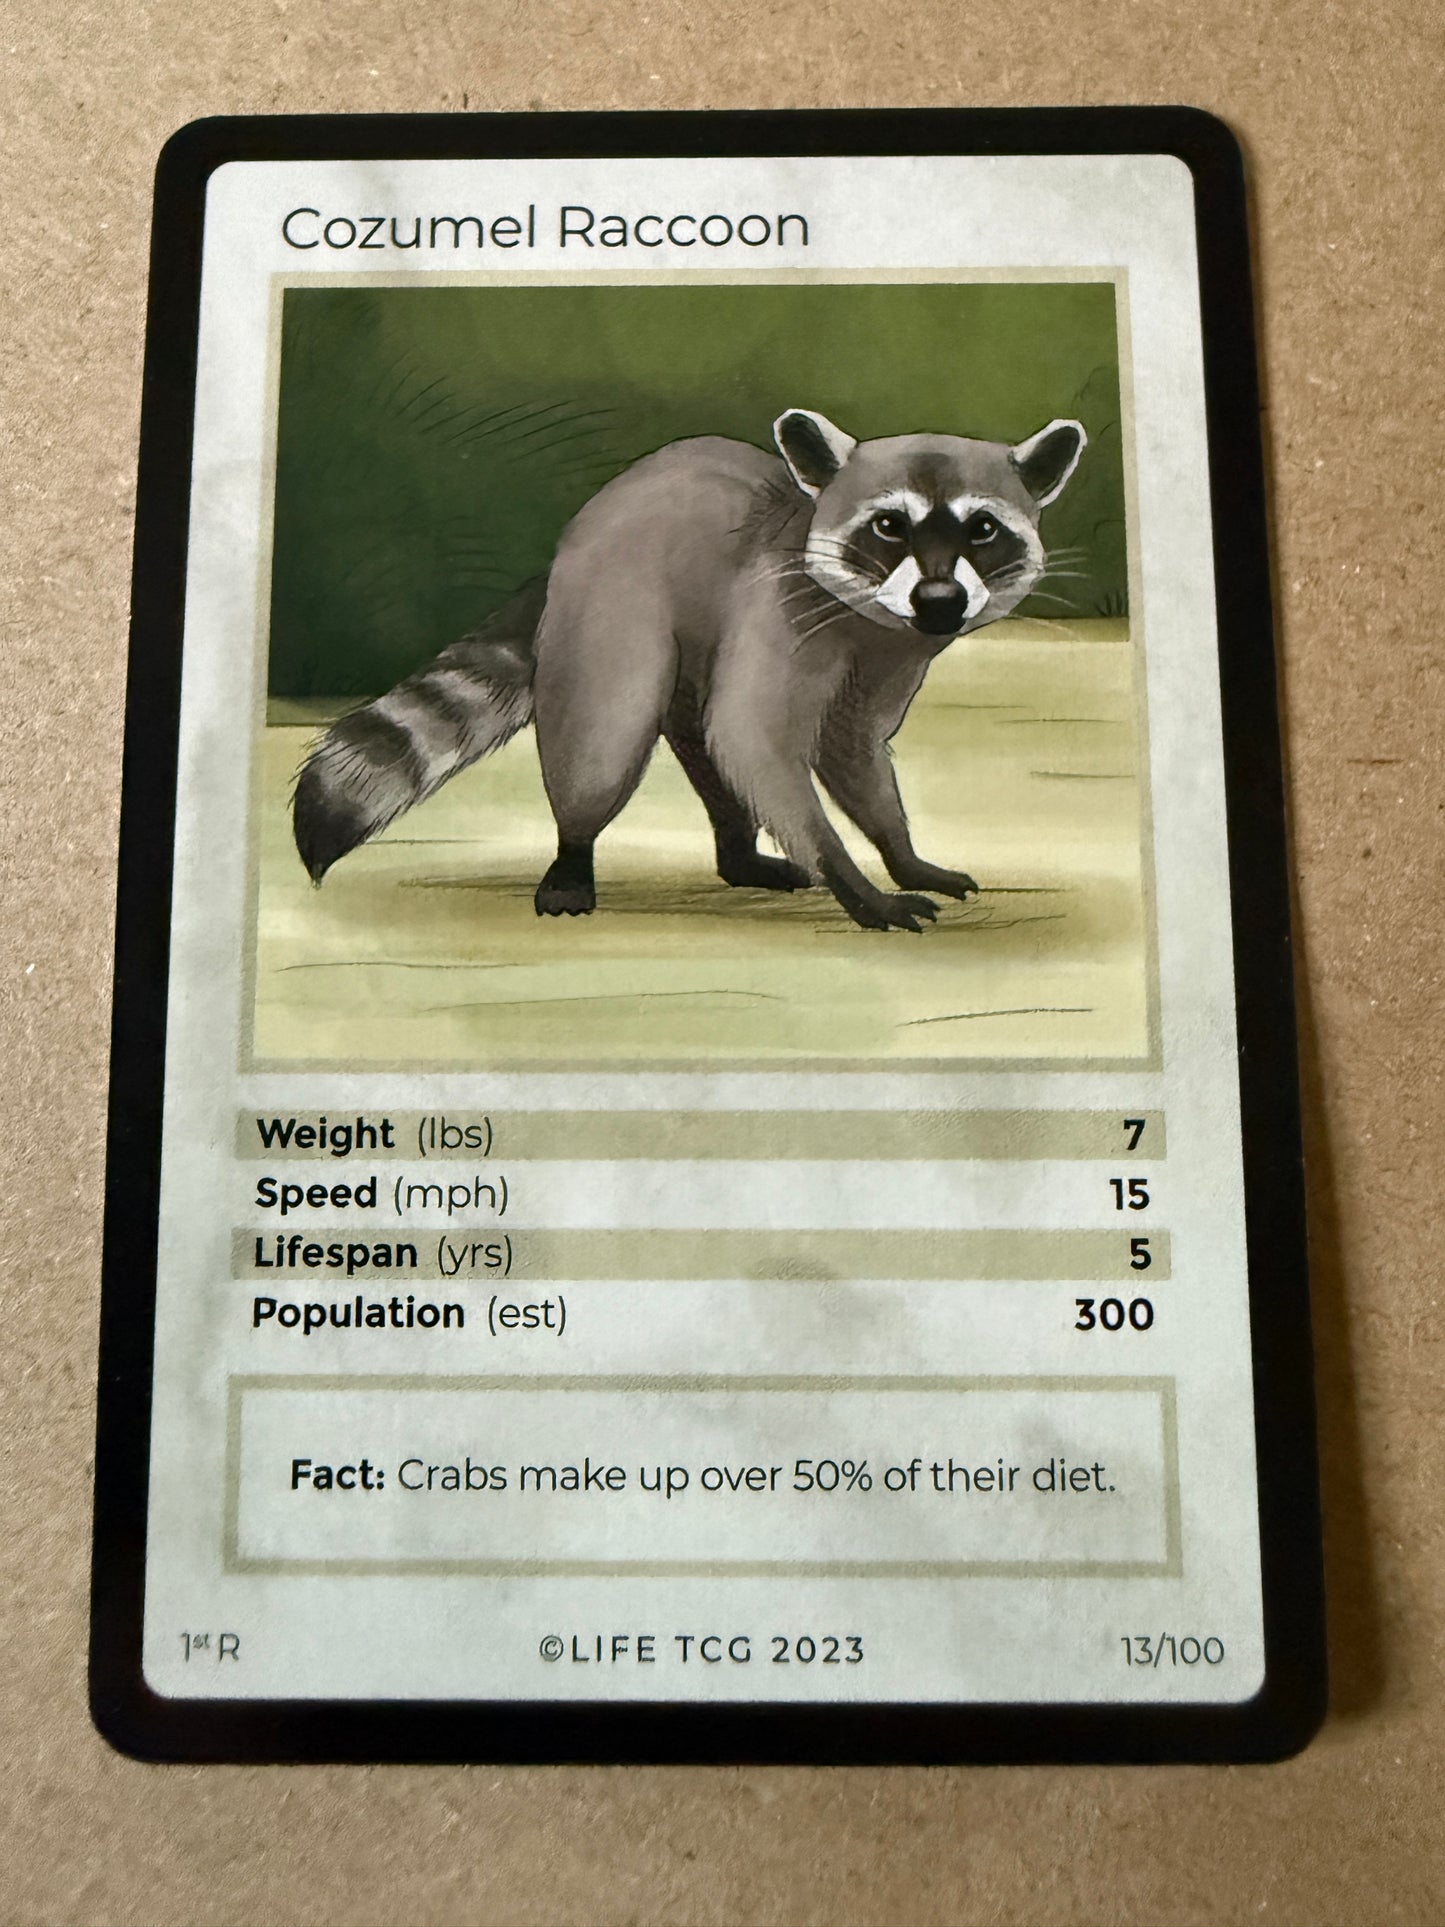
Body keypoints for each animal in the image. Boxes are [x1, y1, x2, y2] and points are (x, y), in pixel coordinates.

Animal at [292, 409, 1085, 931]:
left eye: (982, 529)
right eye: (890, 526)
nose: (940, 600)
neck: (873, 622)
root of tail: (576, 531)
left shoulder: (891, 652)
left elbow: (849, 747)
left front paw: (900, 851)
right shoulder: (780, 609)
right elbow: (756, 741)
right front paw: (851, 878)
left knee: (703, 742)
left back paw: (738, 852)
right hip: (612, 607)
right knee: (606, 739)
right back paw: (574, 852)